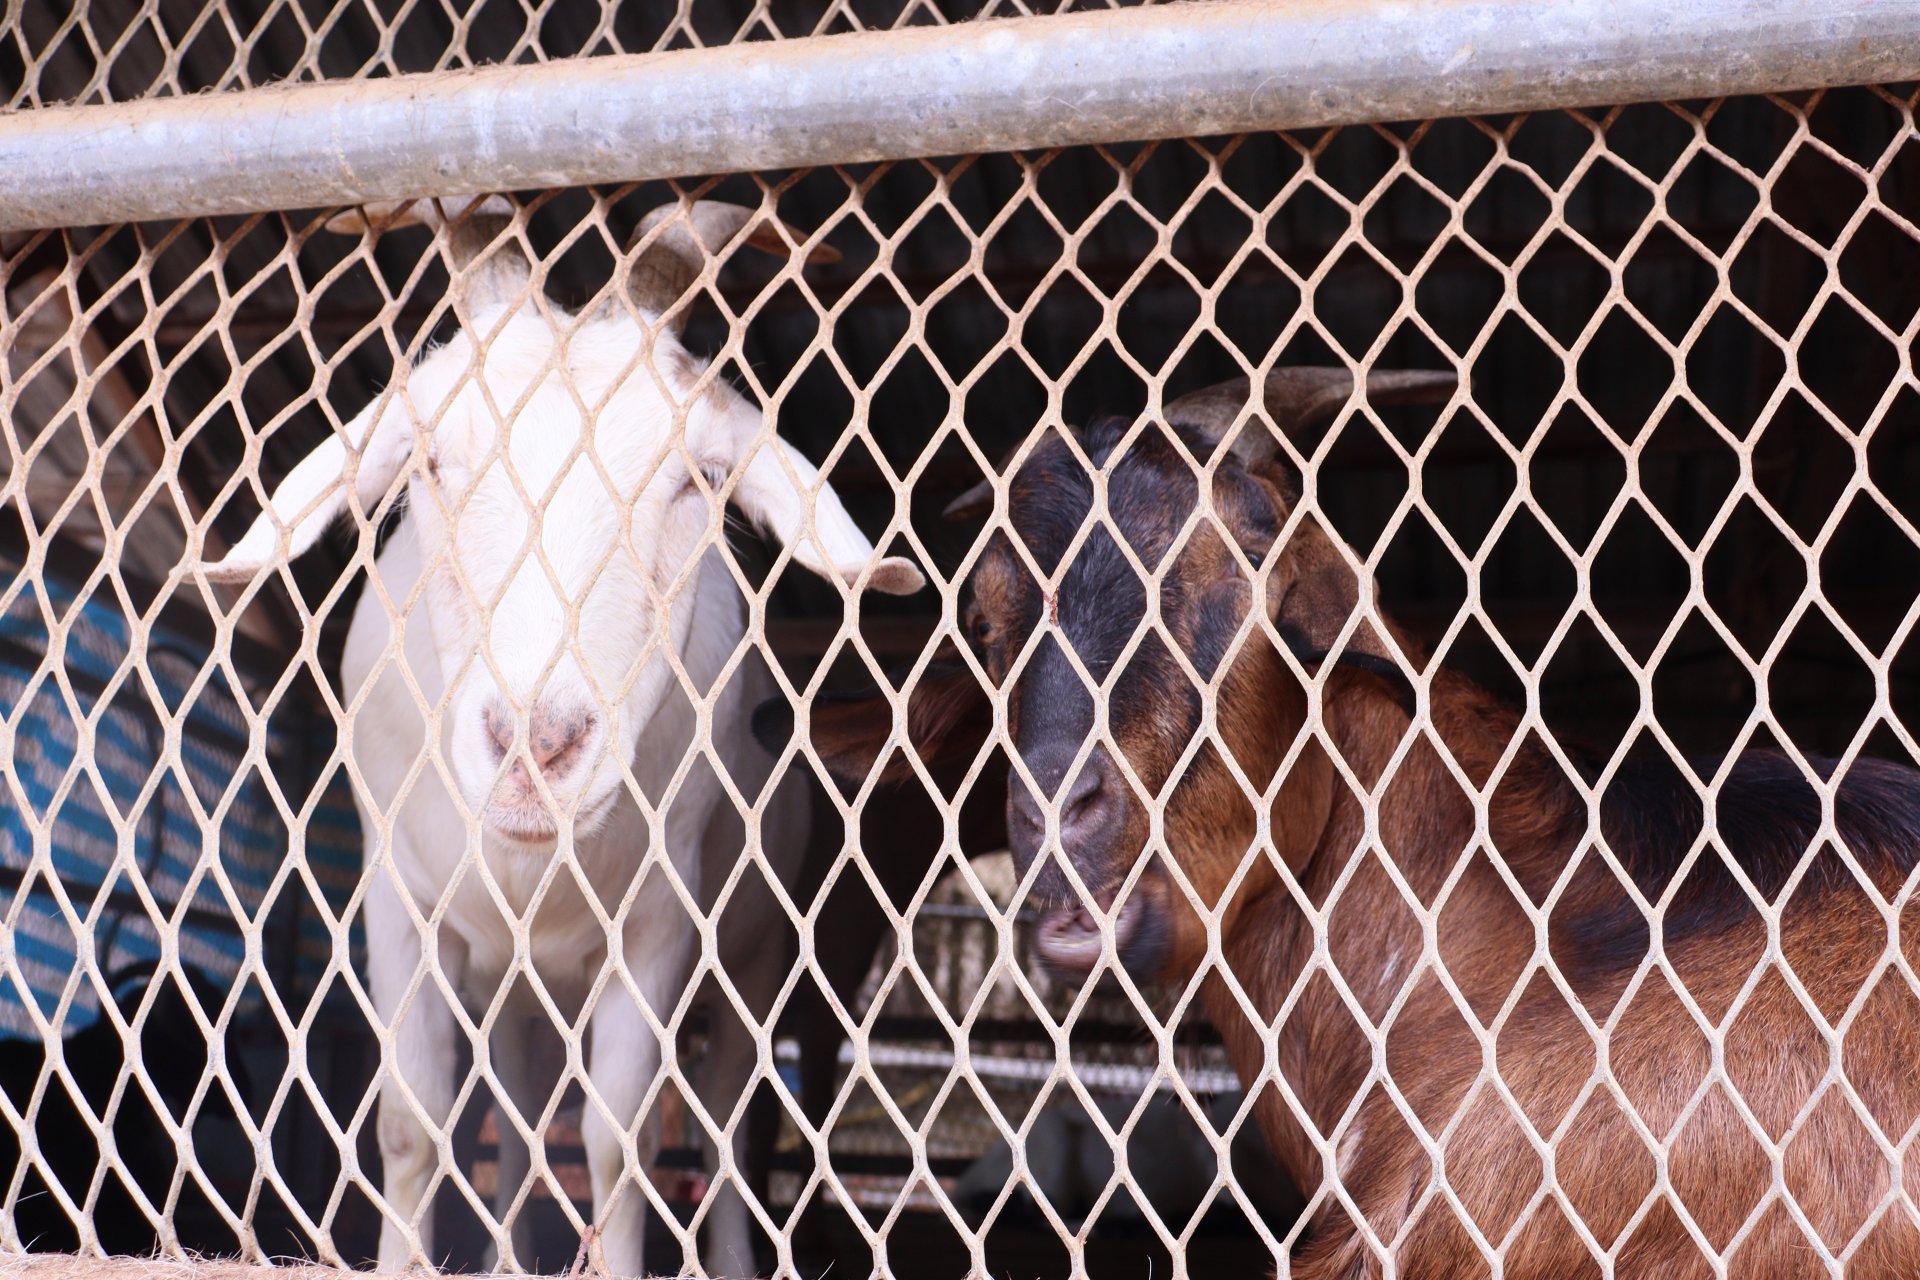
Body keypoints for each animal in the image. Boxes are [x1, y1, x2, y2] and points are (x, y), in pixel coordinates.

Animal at [202, 195, 921, 1277]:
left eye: (697, 480)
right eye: (427, 460)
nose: (536, 749)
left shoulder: (660, 922)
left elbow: (619, 1144)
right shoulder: (399, 900)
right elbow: (414, 1120)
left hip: (753, 950)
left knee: (726, 1116)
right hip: (523, 988)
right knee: (522, 1110)